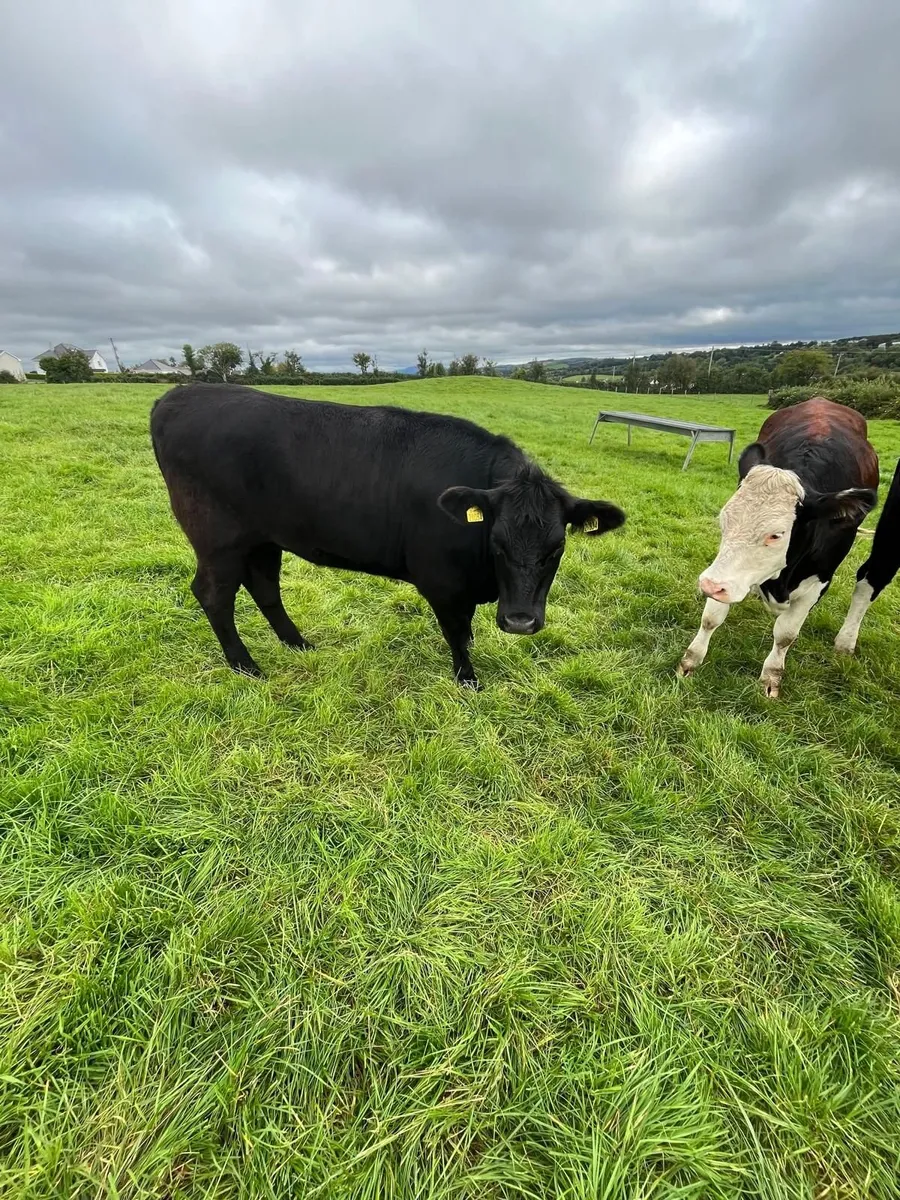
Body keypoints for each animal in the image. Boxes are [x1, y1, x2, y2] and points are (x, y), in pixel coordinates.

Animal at [150, 383, 625, 687]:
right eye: (497, 543)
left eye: (557, 547)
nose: (521, 621)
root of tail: (177, 395)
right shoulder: (442, 581)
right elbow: (457, 631)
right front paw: (468, 680)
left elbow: (467, 627)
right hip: (217, 539)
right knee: (214, 594)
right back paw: (246, 666)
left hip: (263, 537)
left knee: (264, 587)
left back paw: (299, 644)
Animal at [677, 397, 878, 698]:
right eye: (725, 519)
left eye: (776, 535)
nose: (709, 585)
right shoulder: (727, 572)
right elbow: (711, 617)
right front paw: (691, 661)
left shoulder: (819, 581)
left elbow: (785, 635)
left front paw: (771, 677)